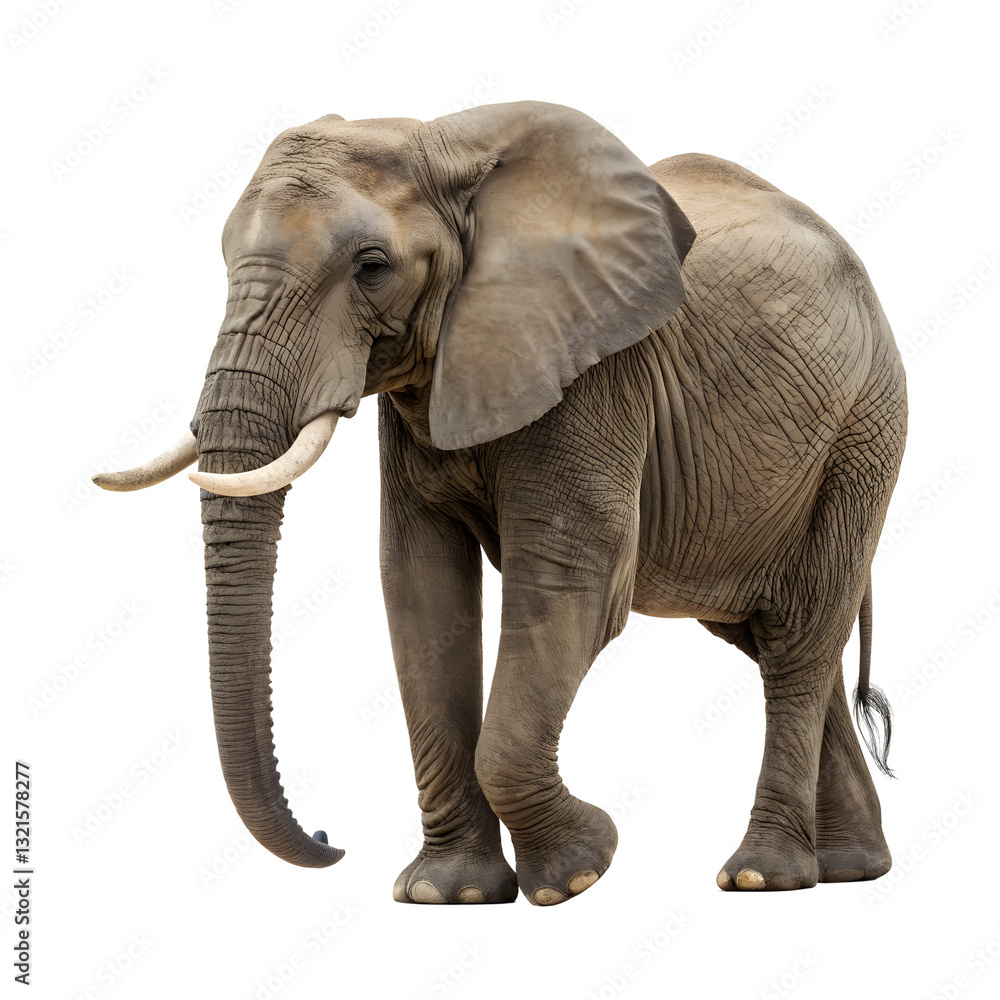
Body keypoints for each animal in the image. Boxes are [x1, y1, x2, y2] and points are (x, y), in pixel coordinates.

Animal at [93, 100, 907, 904]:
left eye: (372, 267)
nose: (328, 838)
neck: (443, 145)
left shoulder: (598, 372)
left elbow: (572, 579)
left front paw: (578, 870)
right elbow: (421, 587)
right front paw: (446, 892)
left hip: (863, 435)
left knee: (799, 638)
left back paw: (762, 876)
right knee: (777, 637)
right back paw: (850, 868)